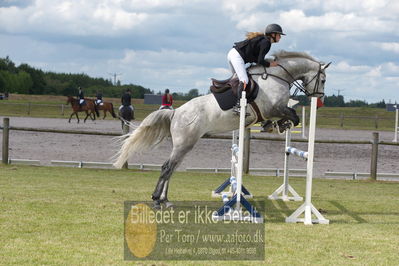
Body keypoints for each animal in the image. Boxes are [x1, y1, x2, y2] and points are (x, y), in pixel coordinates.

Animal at [113, 50, 332, 208]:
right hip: (184, 144)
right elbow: (292, 115)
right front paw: (283, 124)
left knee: (171, 168)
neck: (278, 77)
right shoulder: (273, 108)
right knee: (167, 167)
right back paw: (157, 199)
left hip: (184, 146)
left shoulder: (273, 110)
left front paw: (276, 125)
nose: (319, 101)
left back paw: (165, 199)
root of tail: (176, 113)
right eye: (323, 80)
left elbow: (288, 115)